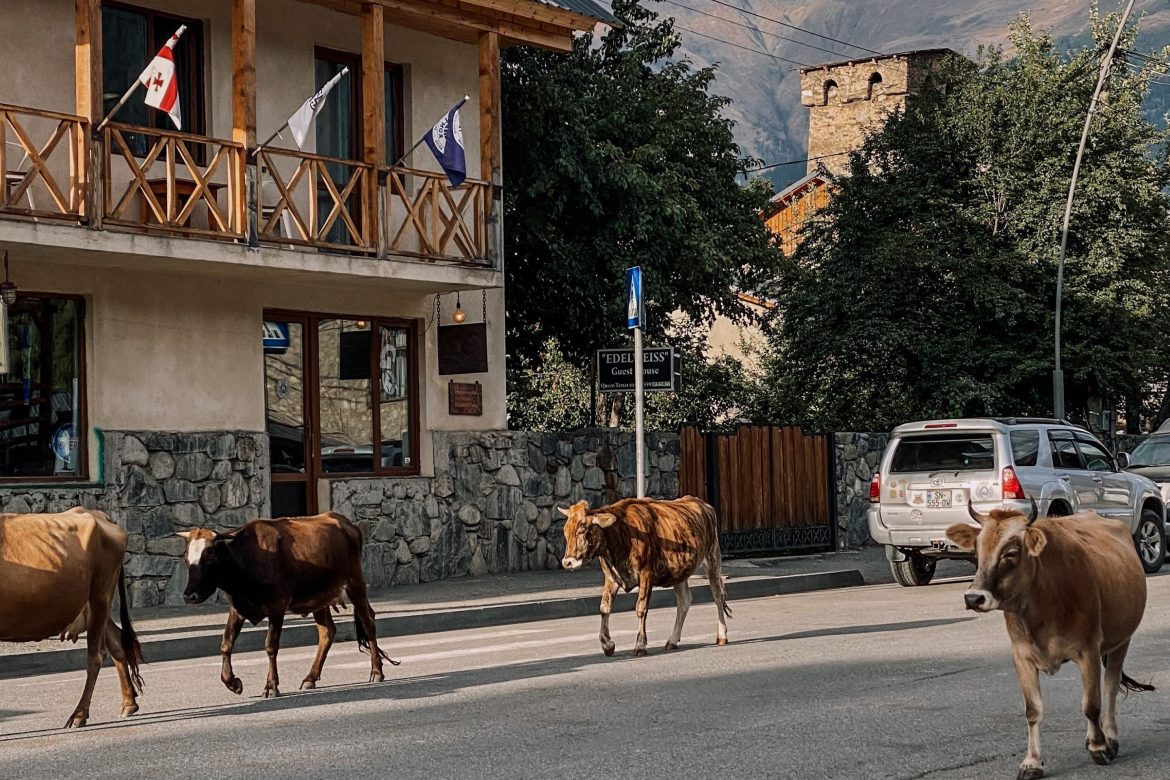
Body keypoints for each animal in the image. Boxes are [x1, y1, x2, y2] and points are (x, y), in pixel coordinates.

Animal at [0, 509, 143, 729]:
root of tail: (97, 514)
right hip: (95, 605)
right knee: (117, 644)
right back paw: (128, 704)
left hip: (101, 594)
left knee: (96, 656)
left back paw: (79, 714)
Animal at [176, 512, 397, 701]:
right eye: (186, 558)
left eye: (210, 555)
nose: (190, 595)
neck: (247, 558)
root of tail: (345, 522)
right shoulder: (238, 607)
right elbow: (226, 643)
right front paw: (233, 683)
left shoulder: (277, 606)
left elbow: (270, 645)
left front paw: (271, 686)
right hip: (319, 598)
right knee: (327, 632)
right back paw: (310, 678)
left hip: (355, 584)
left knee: (368, 623)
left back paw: (376, 671)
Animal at [556, 498, 730, 654]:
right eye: (565, 532)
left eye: (582, 530)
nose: (567, 562)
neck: (622, 534)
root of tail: (702, 504)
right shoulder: (611, 578)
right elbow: (604, 608)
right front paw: (607, 644)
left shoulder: (646, 574)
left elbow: (641, 608)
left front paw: (640, 644)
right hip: (680, 571)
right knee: (684, 601)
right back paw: (672, 640)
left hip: (712, 557)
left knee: (717, 595)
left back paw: (721, 636)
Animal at [945, 500, 1155, 780]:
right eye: (977, 550)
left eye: (1010, 552)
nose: (973, 598)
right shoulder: (1021, 656)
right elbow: (1033, 711)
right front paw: (1032, 762)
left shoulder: (1088, 651)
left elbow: (1091, 704)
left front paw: (1100, 747)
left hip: (1122, 640)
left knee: (1110, 686)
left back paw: (1109, 738)